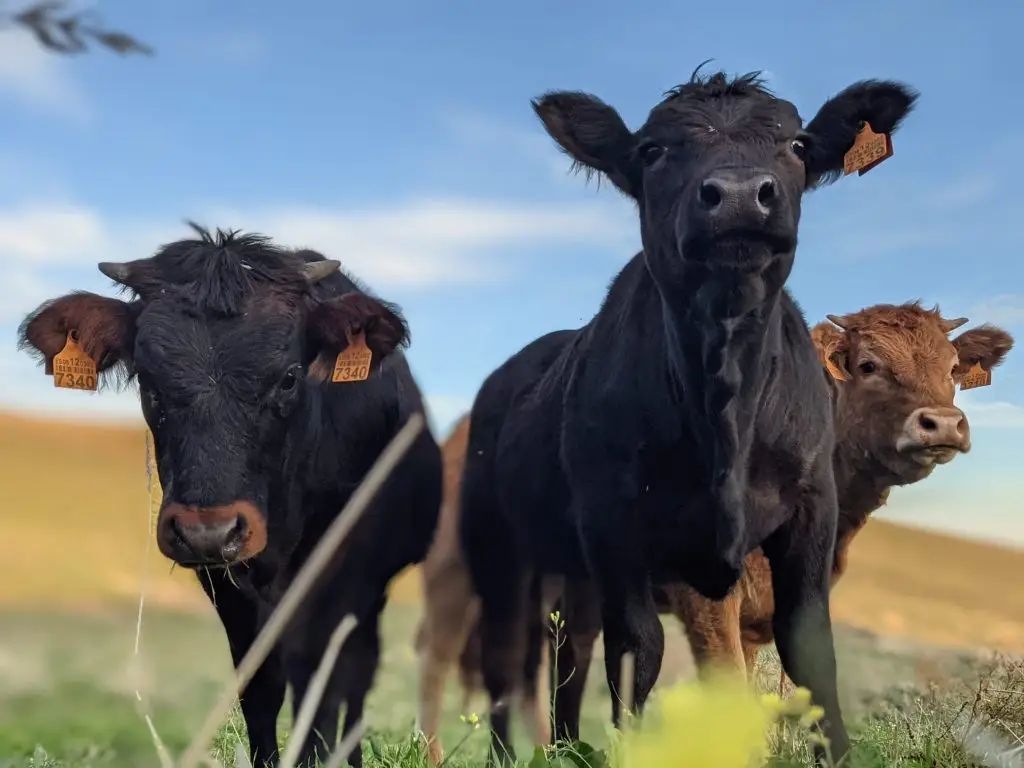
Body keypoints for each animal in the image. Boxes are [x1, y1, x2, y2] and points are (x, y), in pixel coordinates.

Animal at [17, 225, 444, 768]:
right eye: (149, 383)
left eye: (289, 377)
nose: (208, 532)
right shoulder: (227, 588)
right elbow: (260, 685)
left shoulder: (341, 574)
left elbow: (321, 684)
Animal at [457, 67, 918, 765]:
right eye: (652, 151)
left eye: (798, 145)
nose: (738, 196)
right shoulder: (613, 517)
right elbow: (638, 649)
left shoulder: (813, 507)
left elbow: (810, 651)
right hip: (499, 546)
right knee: (510, 656)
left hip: (572, 565)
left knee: (570, 649)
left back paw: (566, 747)